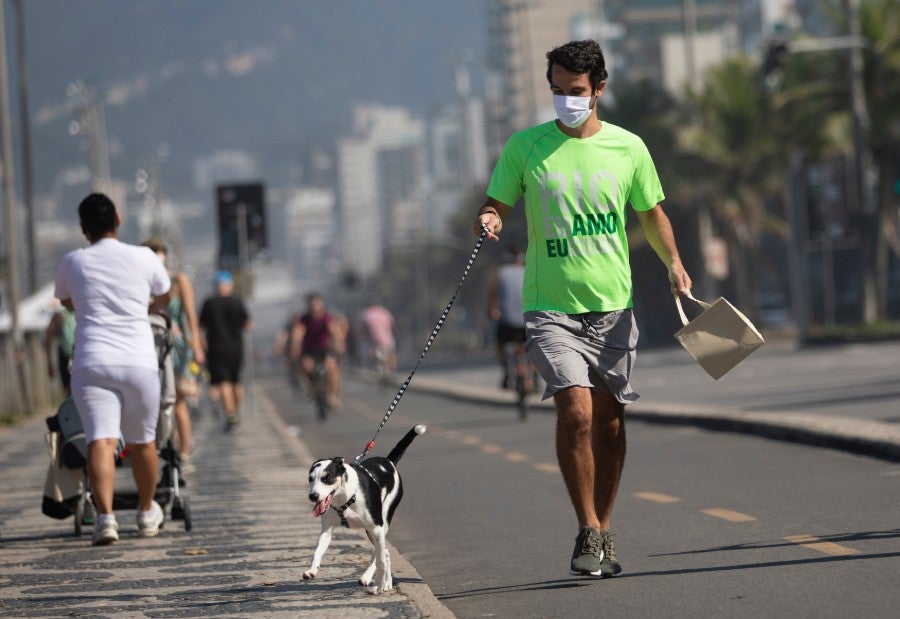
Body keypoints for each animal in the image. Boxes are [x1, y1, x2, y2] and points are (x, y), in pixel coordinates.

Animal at [302, 424, 426, 592]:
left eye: (327, 478)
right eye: (310, 479)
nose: (313, 496)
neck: (345, 498)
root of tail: (389, 462)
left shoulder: (377, 528)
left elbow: (379, 559)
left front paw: (378, 583)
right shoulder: (326, 531)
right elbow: (317, 552)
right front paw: (312, 571)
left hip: (380, 524)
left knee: (381, 554)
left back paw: (373, 580)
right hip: (371, 531)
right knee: (386, 552)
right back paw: (385, 582)